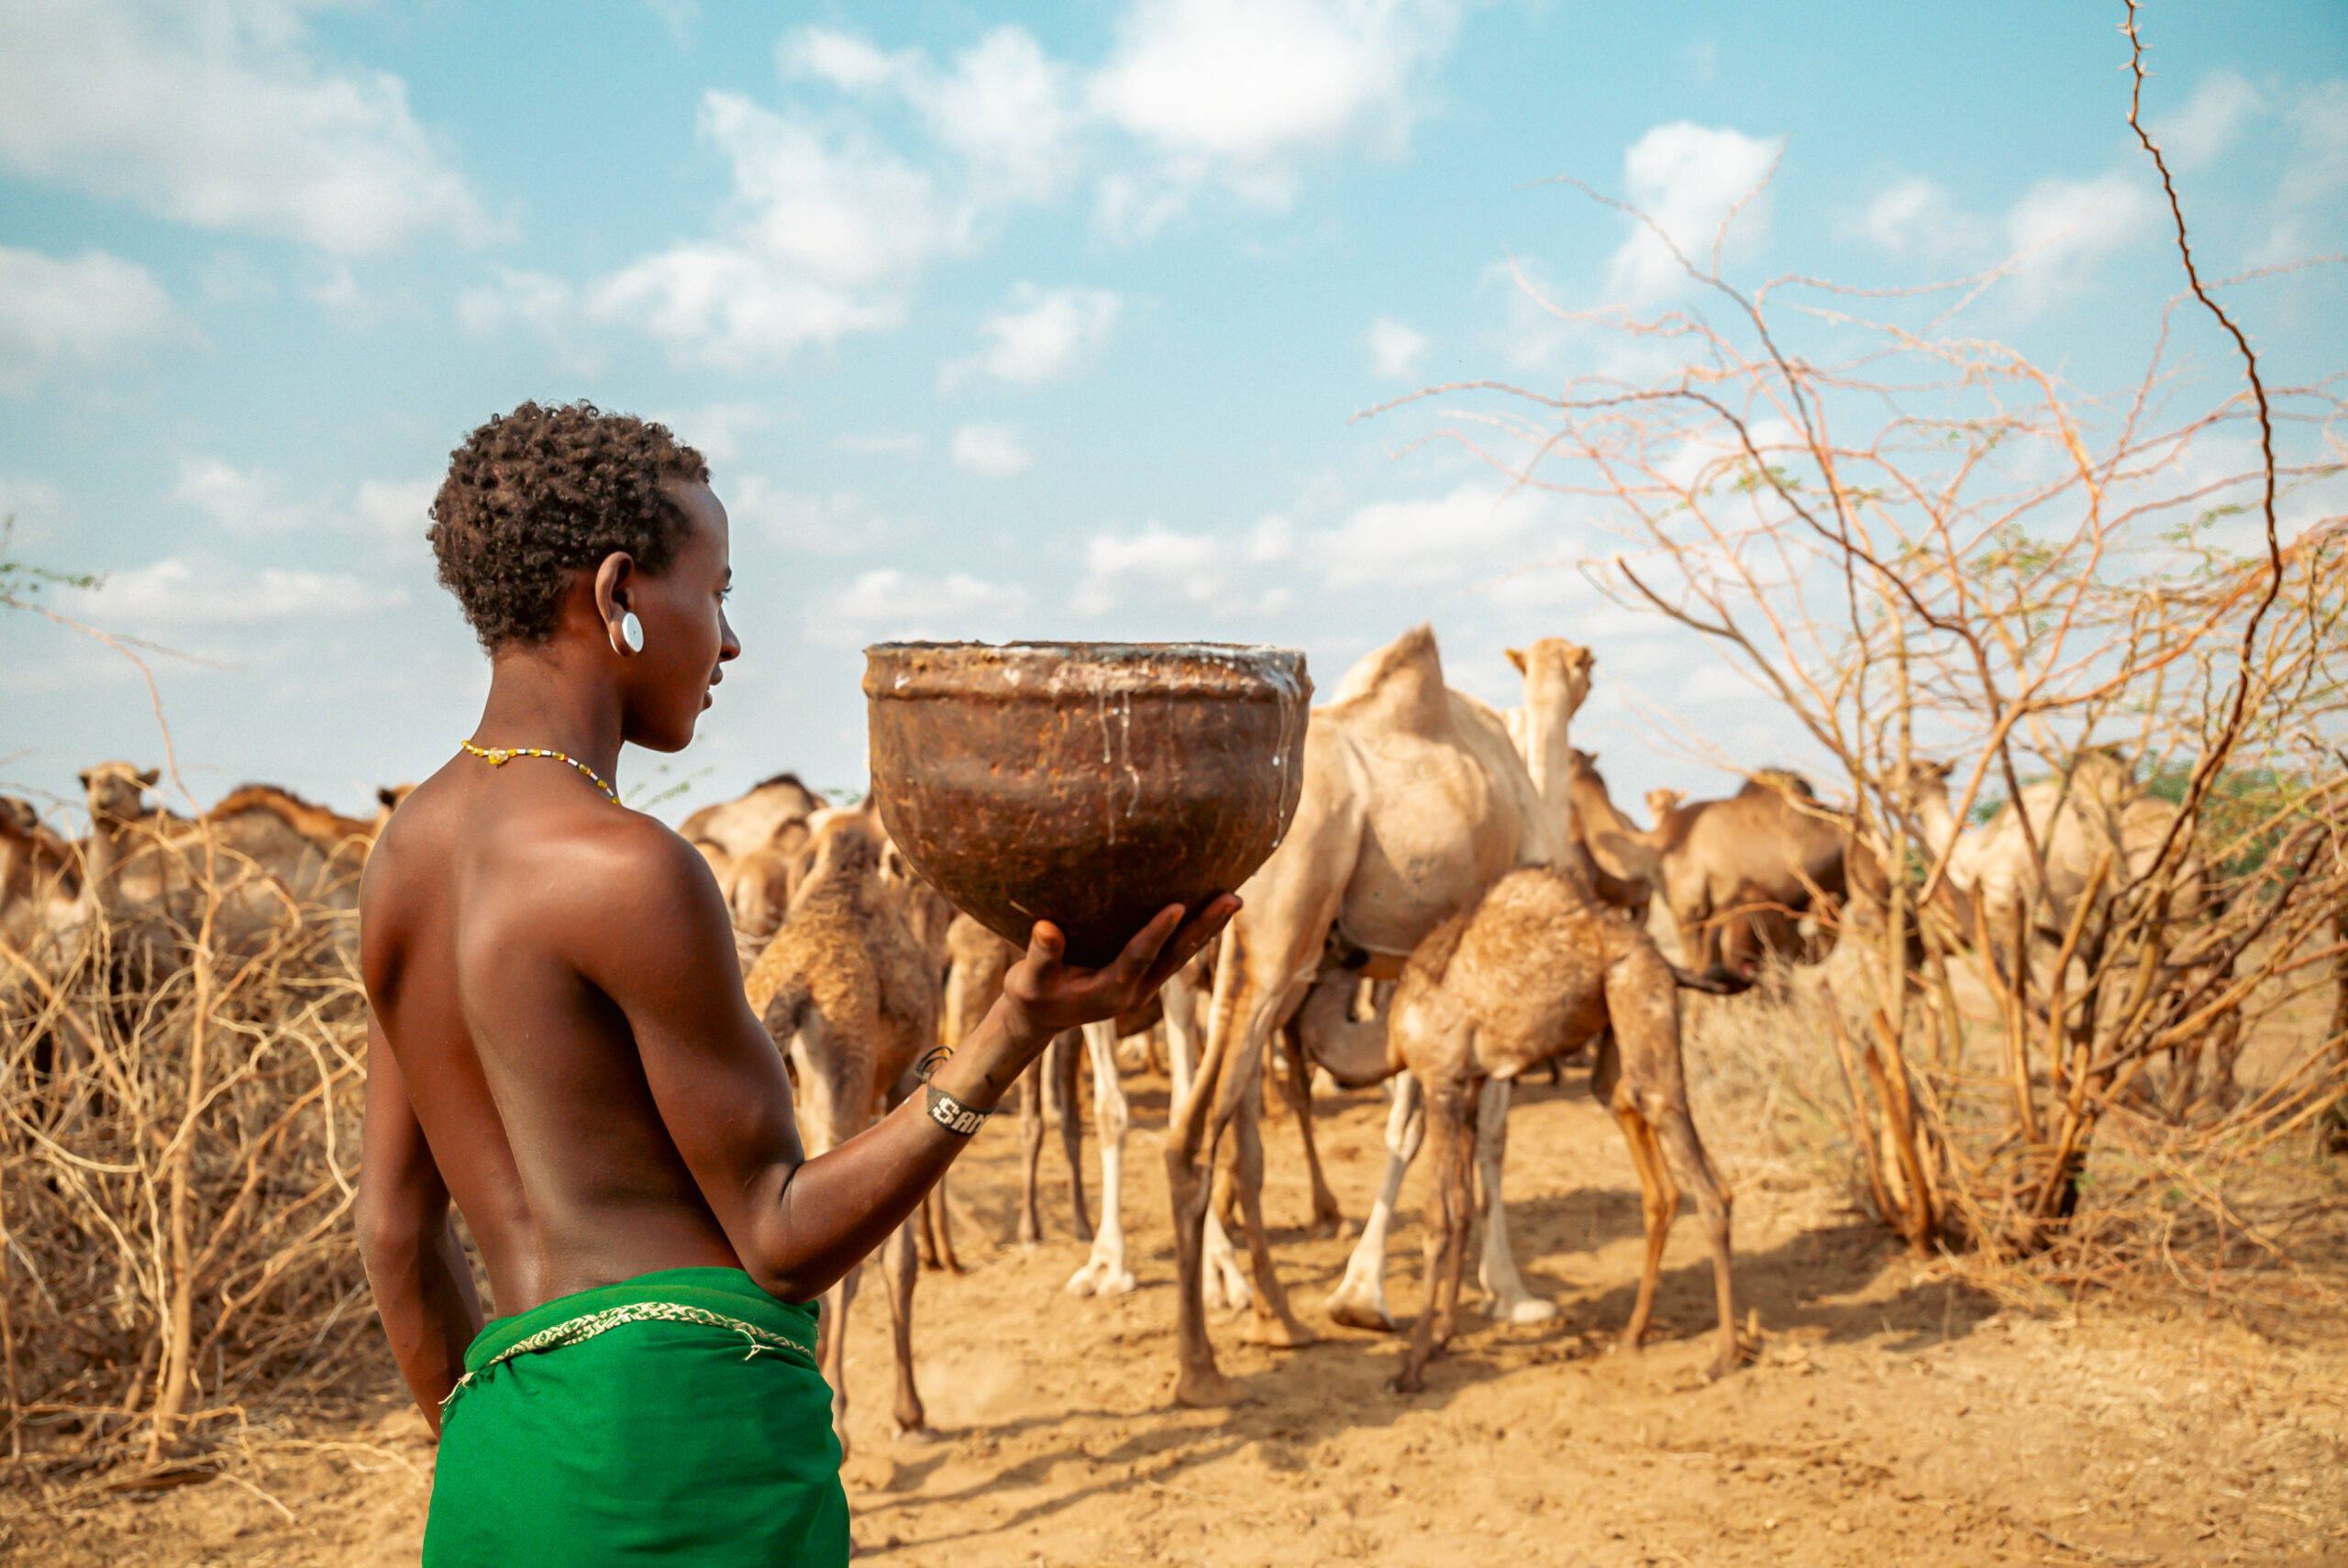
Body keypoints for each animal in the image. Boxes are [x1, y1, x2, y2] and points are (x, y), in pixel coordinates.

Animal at [741, 808, 940, 1455]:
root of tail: (794, 995)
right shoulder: (903, 1079)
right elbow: (899, 1256)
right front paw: (909, 1412)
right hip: (843, 1094)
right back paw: (840, 1425)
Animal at [1165, 626, 1593, 1406]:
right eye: (1590, 667)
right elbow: (1488, 1133)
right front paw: (1511, 1294)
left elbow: (1416, 1121)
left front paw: (1370, 1297)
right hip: (1278, 937)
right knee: (1195, 1133)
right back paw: (1201, 1368)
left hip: (1229, 962)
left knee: (1226, 1135)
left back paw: (1279, 1321)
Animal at [1381, 863, 1738, 1390]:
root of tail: (1664, 961)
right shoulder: (1469, 1084)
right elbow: (1463, 1206)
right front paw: (1444, 1336)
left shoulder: (1441, 1079)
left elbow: (1438, 1216)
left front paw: (1411, 1367)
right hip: (1616, 1030)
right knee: (1655, 1171)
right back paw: (1631, 1336)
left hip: (1639, 994)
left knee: (1704, 1179)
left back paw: (1723, 1356)